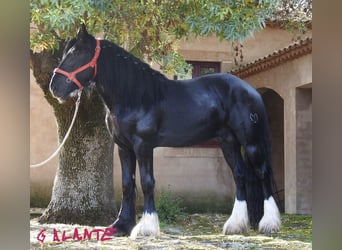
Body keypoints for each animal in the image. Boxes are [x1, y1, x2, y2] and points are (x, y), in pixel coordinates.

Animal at [50, 25, 280, 238]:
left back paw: (269, 223)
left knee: (262, 174)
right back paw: (235, 225)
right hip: (228, 142)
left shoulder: (143, 145)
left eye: (77, 54)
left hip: (251, 142)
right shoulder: (124, 147)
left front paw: (146, 227)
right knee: (240, 176)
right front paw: (121, 226)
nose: (55, 87)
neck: (134, 96)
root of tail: (250, 90)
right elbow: (127, 184)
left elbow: (147, 182)